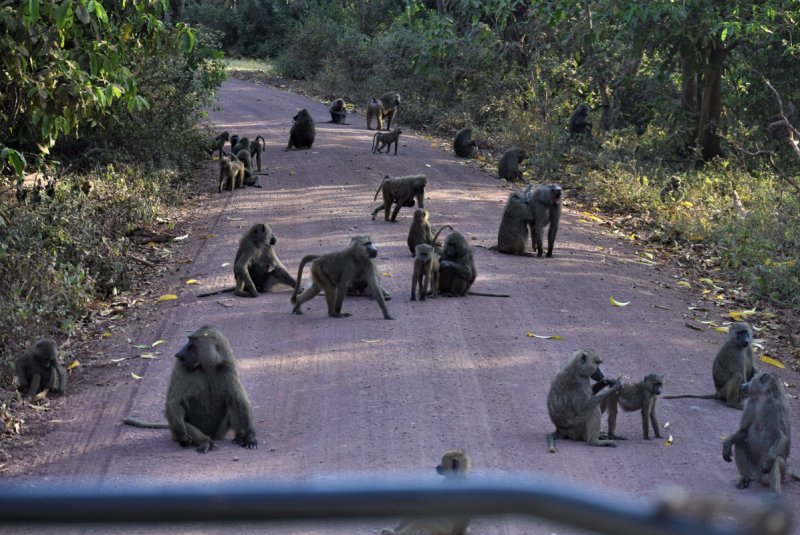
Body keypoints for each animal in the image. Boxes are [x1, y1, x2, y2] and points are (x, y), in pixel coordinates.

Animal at [123, 325, 258, 454]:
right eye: (189, 340)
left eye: (192, 344)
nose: (178, 354)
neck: (206, 366)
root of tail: (211, 435)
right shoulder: (180, 366)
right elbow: (174, 402)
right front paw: (183, 433)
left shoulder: (227, 367)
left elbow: (239, 399)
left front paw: (250, 436)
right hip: (182, 431)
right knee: (178, 419)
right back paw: (205, 442)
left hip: (219, 431)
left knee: (232, 402)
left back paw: (239, 436)